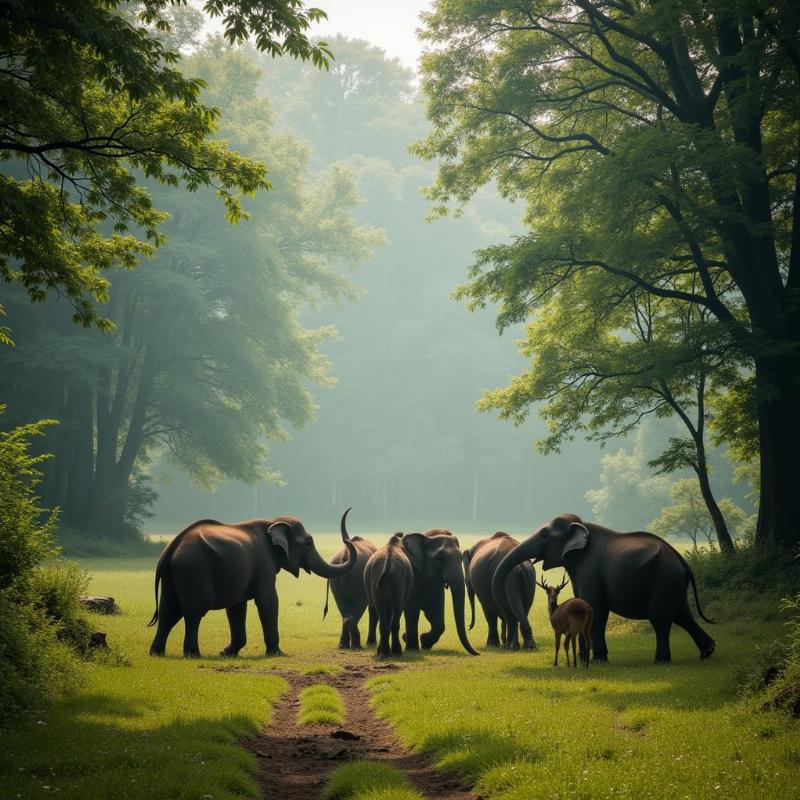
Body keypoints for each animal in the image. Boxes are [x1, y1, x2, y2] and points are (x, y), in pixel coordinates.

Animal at [146, 510, 356, 660]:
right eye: (309, 542)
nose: (348, 540)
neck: (271, 522)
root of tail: (170, 549)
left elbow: (237, 607)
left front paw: (226, 653)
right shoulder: (264, 564)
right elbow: (268, 601)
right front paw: (277, 654)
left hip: (173, 576)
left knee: (168, 611)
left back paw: (156, 653)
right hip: (193, 571)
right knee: (193, 612)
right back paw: (193, 655)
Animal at [490, 512, 716, 664]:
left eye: (545, 534)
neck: (582, 526)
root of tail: (681, 559)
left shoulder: (590, 569)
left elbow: (596, 609)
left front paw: (597, 659)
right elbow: (581, 603)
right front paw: (583, 658)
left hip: (664, 580)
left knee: (660, 618)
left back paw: (661, 660)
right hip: (674, 584)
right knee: (682, 615)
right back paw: (708, 652)